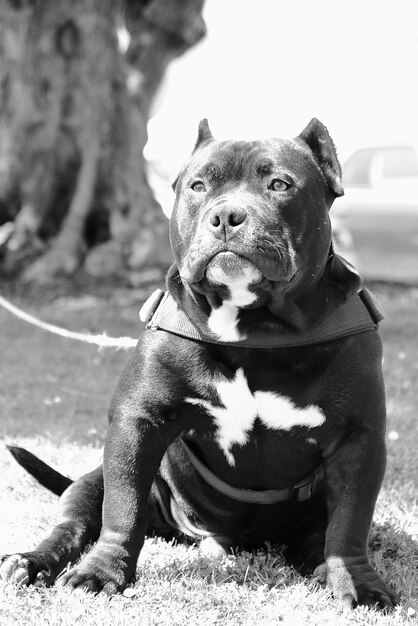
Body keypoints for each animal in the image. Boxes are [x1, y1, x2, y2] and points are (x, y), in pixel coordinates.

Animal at [0, 119, 398, 608]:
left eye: (280, 184)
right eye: (198, 186)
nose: (226, 216)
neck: (257, 329)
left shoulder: (358, 437)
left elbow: (349, 523)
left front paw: (357, 583)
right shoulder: (138, 422)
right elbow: (122, 510)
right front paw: (102, 572)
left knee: (321, 536)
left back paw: (322, 566)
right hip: (89, 485)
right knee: (75, 521)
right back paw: (32, 562)